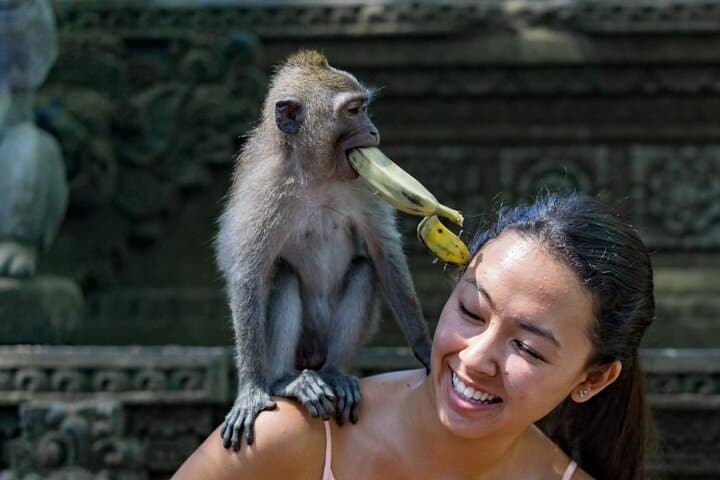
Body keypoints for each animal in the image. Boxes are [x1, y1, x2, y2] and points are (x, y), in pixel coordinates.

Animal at [215, 50, 431, 451]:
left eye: (364, 108)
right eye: (353, 111)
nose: (374, 132)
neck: (316, 175)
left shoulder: (362, 183)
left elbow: (383, 252)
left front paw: (427, 348)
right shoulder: (267, 189)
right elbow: (248, 275)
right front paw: (250, 390)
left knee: (363, 269)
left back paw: (334, 374)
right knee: (282, 276)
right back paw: (285, 381)